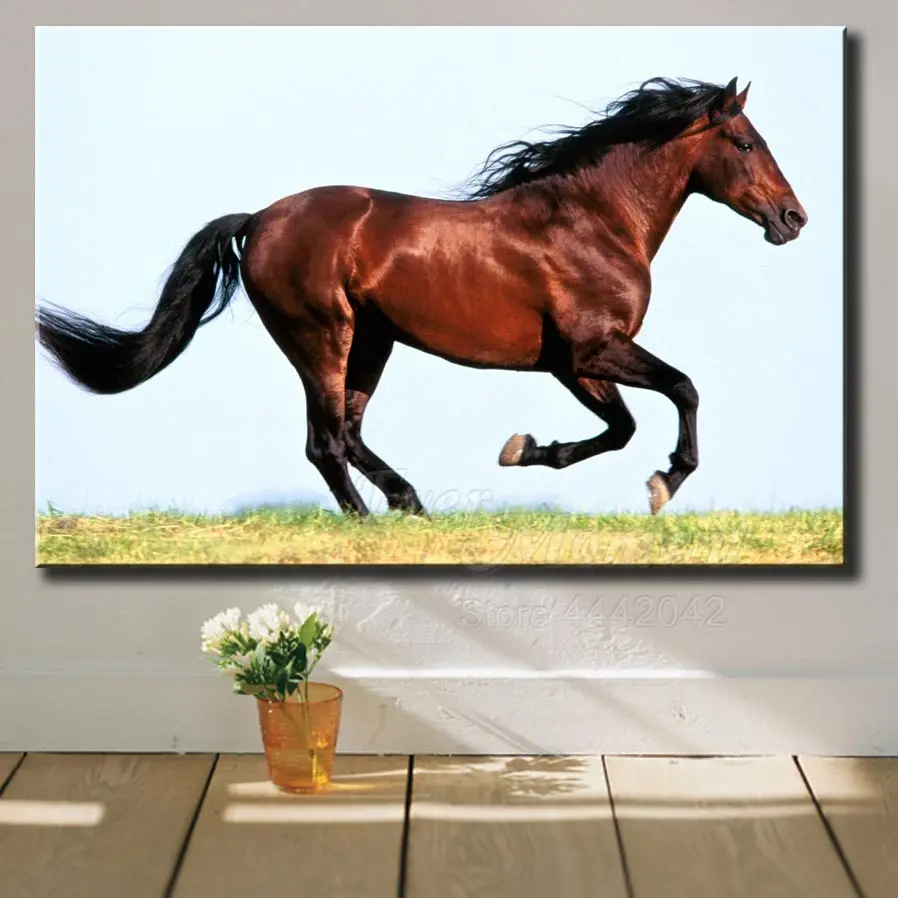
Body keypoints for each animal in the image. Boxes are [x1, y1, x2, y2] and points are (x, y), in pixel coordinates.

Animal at [36, 76, 807, 518]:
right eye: (745, 141)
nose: (793, 219)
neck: (592, 220)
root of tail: (258, 220)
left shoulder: (572, 364)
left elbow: (621, 427)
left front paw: (524, 450)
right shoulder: (594, 348)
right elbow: (682, 390)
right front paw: (665, 482)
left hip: (371, 342)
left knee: (346, 433)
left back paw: (408, 504)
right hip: (322, 336)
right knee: (324, 441)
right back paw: (375, 519)